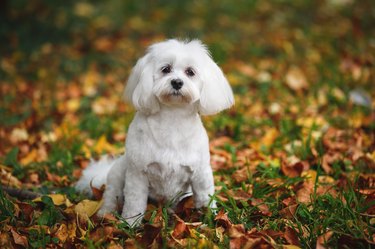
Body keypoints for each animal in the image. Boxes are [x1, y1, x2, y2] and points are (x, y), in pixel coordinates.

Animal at [75, 39, 235, 226]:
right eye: (165, 69)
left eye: (190, 72)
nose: (177, 82)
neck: (173, 117)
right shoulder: (138, 174)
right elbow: (134, 202)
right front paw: (130, 224)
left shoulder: (200, 173)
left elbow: (205, 198)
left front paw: (211, 219)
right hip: (119, 173)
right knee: (110, 196)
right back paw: (105, 214)